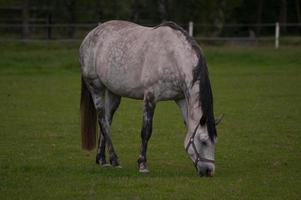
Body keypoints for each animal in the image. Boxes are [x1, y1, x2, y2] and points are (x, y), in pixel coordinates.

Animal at [79, 20, 220, 177]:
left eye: (215, 141)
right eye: (203, 141)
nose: (209, 171)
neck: (173, 57)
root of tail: (91, 35)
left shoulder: (181, 99)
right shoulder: (150, 97)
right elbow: (146, 131)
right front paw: (142, 164)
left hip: (113, 92)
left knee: (107, 121)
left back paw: (102, 159)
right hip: (96, 87)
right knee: (102, 120)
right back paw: (114, 160)